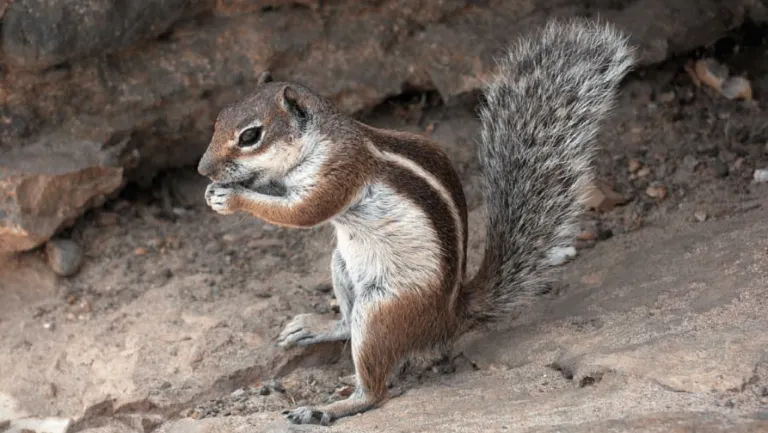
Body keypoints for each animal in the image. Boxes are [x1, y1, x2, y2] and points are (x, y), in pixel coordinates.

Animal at [197, 19, 634, 426]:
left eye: (250, 135)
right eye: (217, 120)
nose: (202, 169)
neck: (320, 139)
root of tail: (449, 317)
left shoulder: (340, 172)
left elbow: (304, 212)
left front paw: (231, 197)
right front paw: (221, 190)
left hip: (382, 310)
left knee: (375, 389)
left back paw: (326, 409)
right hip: (342, 266)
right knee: (347, 323)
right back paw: (317, 327)